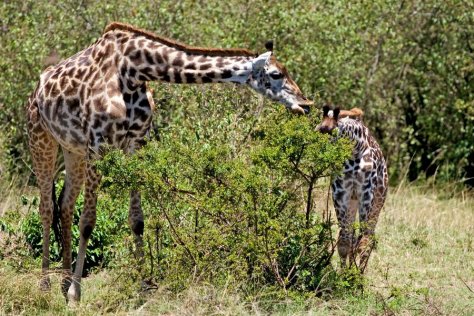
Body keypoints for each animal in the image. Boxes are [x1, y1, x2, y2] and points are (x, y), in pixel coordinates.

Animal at [27, 22, 312, 304]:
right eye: (276, 74)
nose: (306, 104)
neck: (132, 72)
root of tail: (36, 91)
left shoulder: (136, 144)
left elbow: (137, 220)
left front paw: (142, 286)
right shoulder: (99, 145)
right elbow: (87, 222)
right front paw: (76, 295)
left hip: (71, 149)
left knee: (65, 204)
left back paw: (63, 282)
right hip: (41, 139)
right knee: (46, 208)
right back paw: (44, 286)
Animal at [318, 104, 388, 272]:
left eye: (331, 131)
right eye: (319, 129)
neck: (355, 150)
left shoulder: (366, 193)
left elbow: (362, 243)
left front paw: (356, 276)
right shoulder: (340, 193)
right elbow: (344, 242)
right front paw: (344, 275)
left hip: (378, 200)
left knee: (368, 237)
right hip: (352, 202)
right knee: (352, 237)